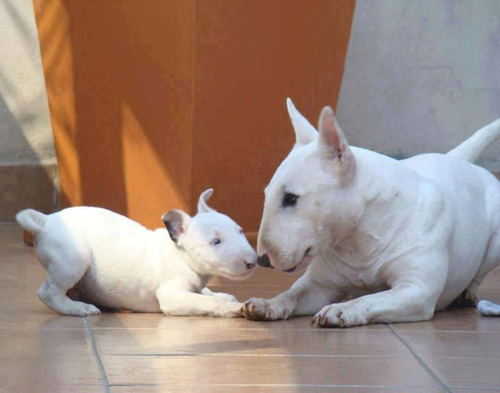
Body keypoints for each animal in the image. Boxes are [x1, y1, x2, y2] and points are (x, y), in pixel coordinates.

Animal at [16, 188, 258, 316]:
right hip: (74, 258)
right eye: (215, 242)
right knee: (48, 292)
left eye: (240, 231)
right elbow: (206, 302)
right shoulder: (172, 295)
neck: (179, 254)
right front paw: (233, 307)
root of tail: (46, 221)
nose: (252, 261)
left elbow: (206, 293)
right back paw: (78, 308)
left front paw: (222, 294)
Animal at [242, 99, 500, 326]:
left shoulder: (417, 289)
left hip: (495, 241)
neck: (361, 237)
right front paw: (266, 304)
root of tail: (454, 158)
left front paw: (340, 309)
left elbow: (371, 299)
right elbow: (293, 293)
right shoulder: (320, 285)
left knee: (480, 271)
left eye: (291, 198)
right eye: (267, 194)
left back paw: (466, 294)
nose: (262, 260)